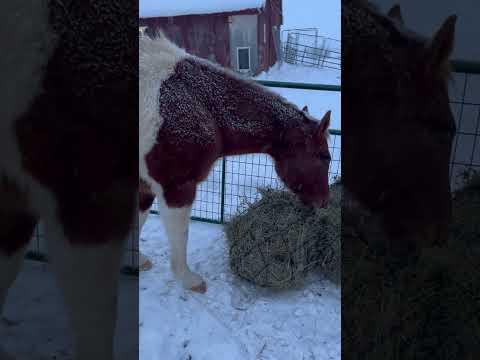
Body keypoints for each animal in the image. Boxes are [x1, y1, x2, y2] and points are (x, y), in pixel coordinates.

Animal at [139, 34, 332, 292]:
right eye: (325, 156)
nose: (323, 202)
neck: (199, 101)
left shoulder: (145, 184)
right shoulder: (177, 187)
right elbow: (180, 234)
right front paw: (188, 279)